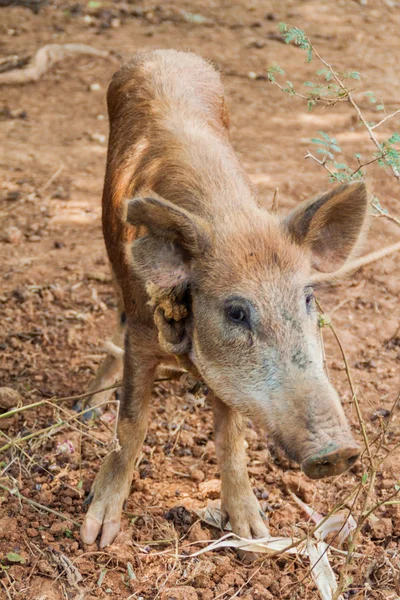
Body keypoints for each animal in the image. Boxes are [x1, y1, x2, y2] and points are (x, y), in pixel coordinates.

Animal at [79, 50, 368, 548]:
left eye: (308, 298)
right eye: (235, 312)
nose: (339, 450)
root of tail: (165, 51)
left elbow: (231, 437)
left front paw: (253, 533)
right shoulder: (142, 332)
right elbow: (132, 423)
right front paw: (96, 536)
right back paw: (86, 410)